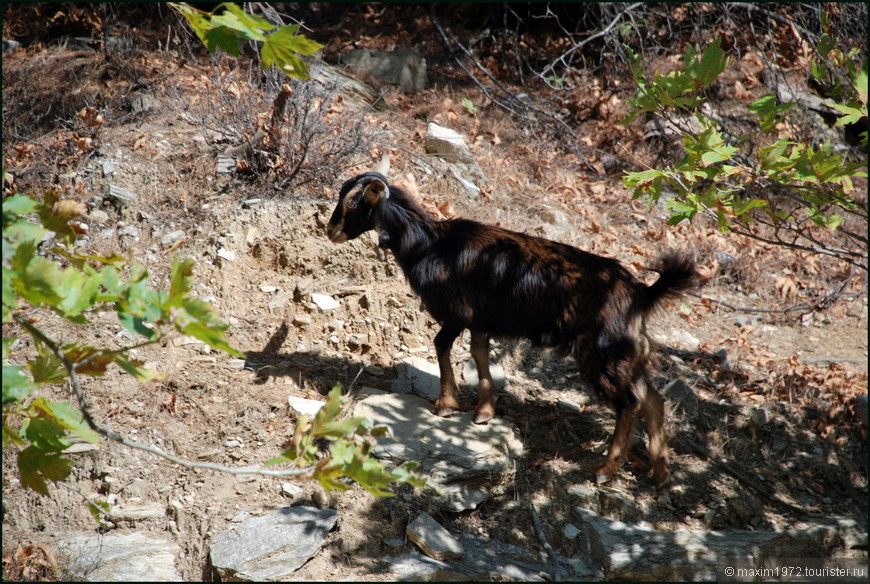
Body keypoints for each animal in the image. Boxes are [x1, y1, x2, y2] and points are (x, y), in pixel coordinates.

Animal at [328, 170, 700, 488]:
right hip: (627, 351)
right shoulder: (480, 320)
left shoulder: (458, 313)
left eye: (354, 203)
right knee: (652, 397)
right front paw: (484, 411)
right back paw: (661, 473)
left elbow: (441, 345)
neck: (429, 244)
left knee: (629, 402)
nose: (331, 232)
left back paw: (607, 469)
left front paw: (446, 404)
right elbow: (479, 353)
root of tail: (642, 293)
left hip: (602, 352)